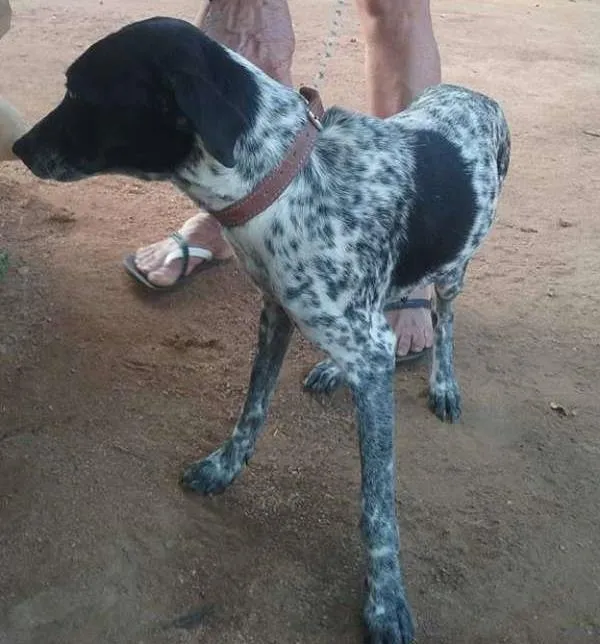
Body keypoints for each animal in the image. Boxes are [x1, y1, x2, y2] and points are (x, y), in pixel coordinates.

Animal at [12, 16, 510, 644]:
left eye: (81, 94)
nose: (17, 147)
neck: (285, 178)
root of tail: (476, 94)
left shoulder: (364, 350)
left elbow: (377, 502)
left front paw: (385, 599)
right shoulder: (276, 312)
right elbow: (253, 408)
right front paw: (225, 467)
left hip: (453, 269)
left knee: (442, 323)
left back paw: (441, 381)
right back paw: (334, 368)